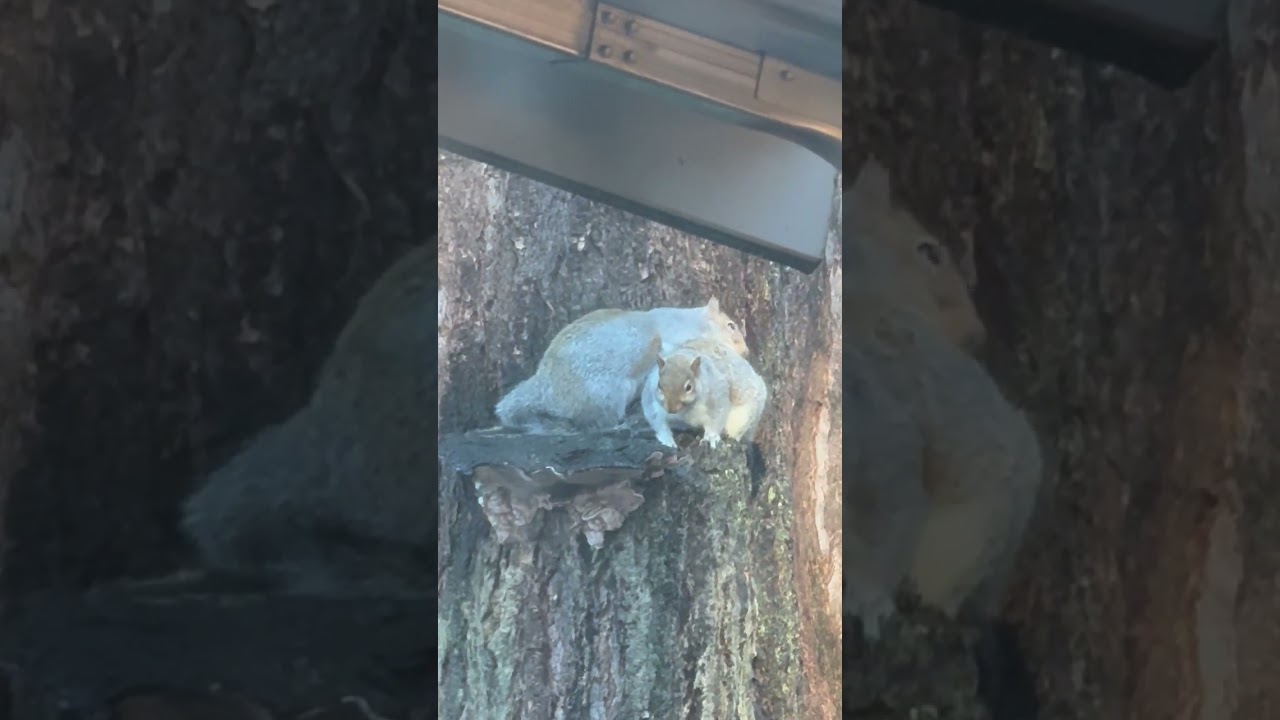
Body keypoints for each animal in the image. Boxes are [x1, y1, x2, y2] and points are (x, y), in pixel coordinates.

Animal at [494, 298, 748, 433]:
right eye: (731, 325)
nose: (746, 351)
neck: (694, 324)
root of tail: (547, 388)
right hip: (606, 393)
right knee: (599, 422)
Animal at [640, 338, 768, 448]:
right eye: (659, 385)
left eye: (689, 387)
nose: (671, 410)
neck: (685, 411)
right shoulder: (652, 402)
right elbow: (657, 423)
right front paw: (667, 440)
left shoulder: (716, 395)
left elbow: (717, 418)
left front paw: (711, 437)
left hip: (744, 416)